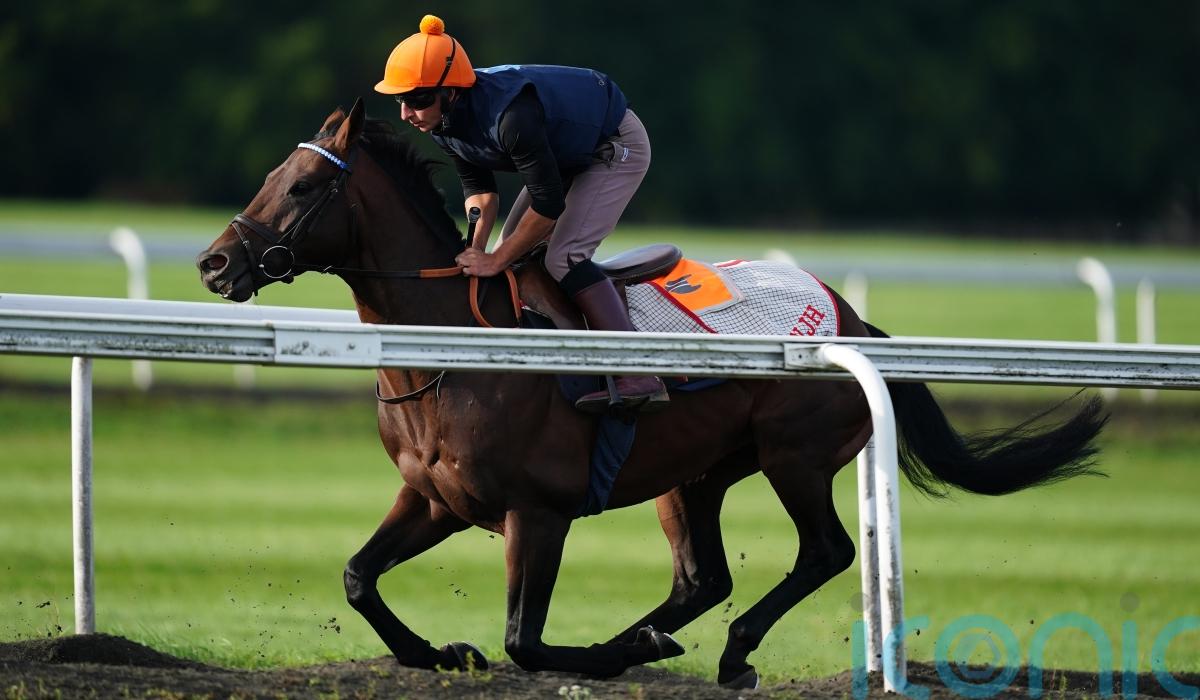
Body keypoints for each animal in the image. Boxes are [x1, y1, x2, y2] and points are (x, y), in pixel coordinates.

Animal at [196, 99, 1106, 689]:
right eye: (275, 175)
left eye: (302, 188)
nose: (213, 263)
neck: (456, 347)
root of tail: (852, 318)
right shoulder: (436, 499)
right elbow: (359, 576)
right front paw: (439, 654)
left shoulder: (539, 511)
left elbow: (525, 640)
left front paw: (592, 655)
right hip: (694, 474)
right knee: (703, 577)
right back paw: (652, 636)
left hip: (796, 454)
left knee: (826, 552)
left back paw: (721, 653)